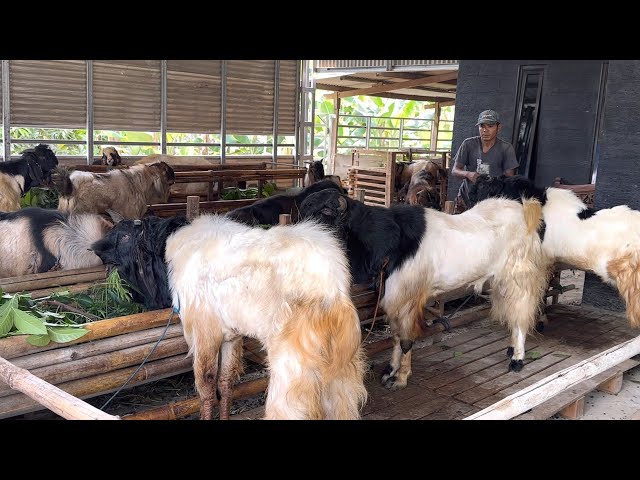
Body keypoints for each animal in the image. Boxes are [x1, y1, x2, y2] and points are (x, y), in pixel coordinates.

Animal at [92, 214, 368, 420]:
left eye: (125, 236)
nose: (96, 250)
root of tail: (332, 289)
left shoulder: (204, 332)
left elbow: (206, 386)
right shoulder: (231, 336)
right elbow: (226, 384)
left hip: (292, 373)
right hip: (341, 372)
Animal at [302, 188, 552, 386]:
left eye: (326, 212)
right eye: (305, 209)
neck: (392, 239)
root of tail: (526, 211)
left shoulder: (407, 300)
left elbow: (406, 340)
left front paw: (401, 378)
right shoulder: (395, 300)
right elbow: (396, 337)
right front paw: (390, 371)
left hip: (518, 278)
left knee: (521, 316)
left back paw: (517, 359)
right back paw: (510, 349)